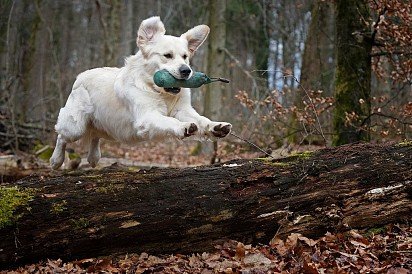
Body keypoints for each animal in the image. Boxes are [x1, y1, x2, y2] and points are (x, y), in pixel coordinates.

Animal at [50, 16, 232, 169]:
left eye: (185, 56)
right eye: (167, 55)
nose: (186, 70)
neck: (157, 90)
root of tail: (80, 76)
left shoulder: (183, 110)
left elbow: (201, 120)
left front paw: (216, 126)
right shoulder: (147, 116)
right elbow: (170, 121)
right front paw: (184, 126)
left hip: (109, 127)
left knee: (95, 135)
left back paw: (94, 157)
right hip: (75, 126)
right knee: (61, 135)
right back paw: (56, 160)